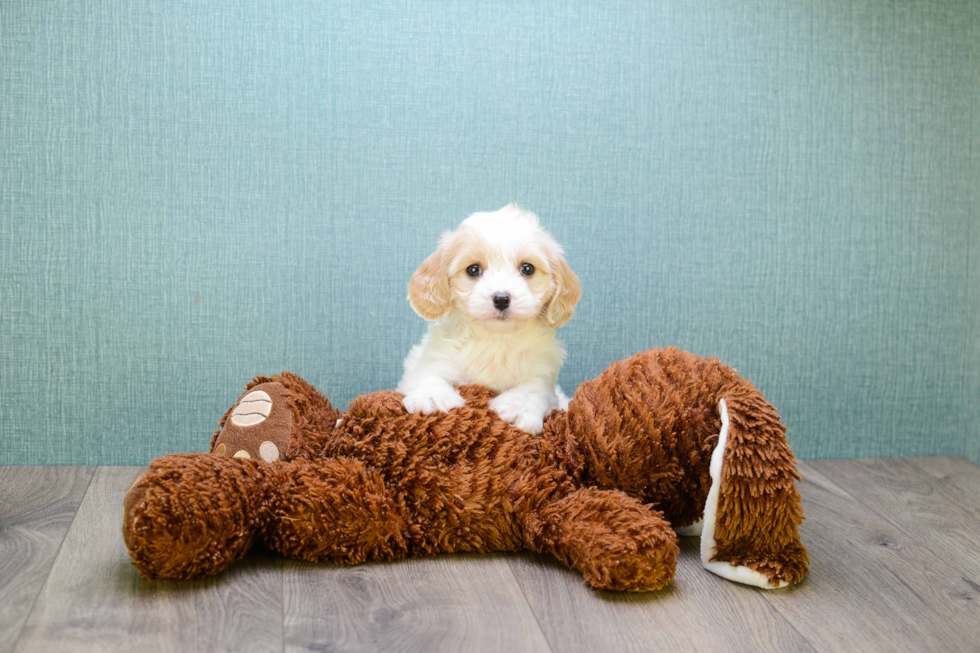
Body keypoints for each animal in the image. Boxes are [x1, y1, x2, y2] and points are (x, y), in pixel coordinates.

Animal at [398, 205, 580, 432]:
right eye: (473, 269)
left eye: (527, 268)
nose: (501, 298)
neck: (495, 338)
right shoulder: (433, 358)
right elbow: (429, 373)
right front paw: (431, 396)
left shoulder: (544, 375)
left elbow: (535, 386)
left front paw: (519, 406)